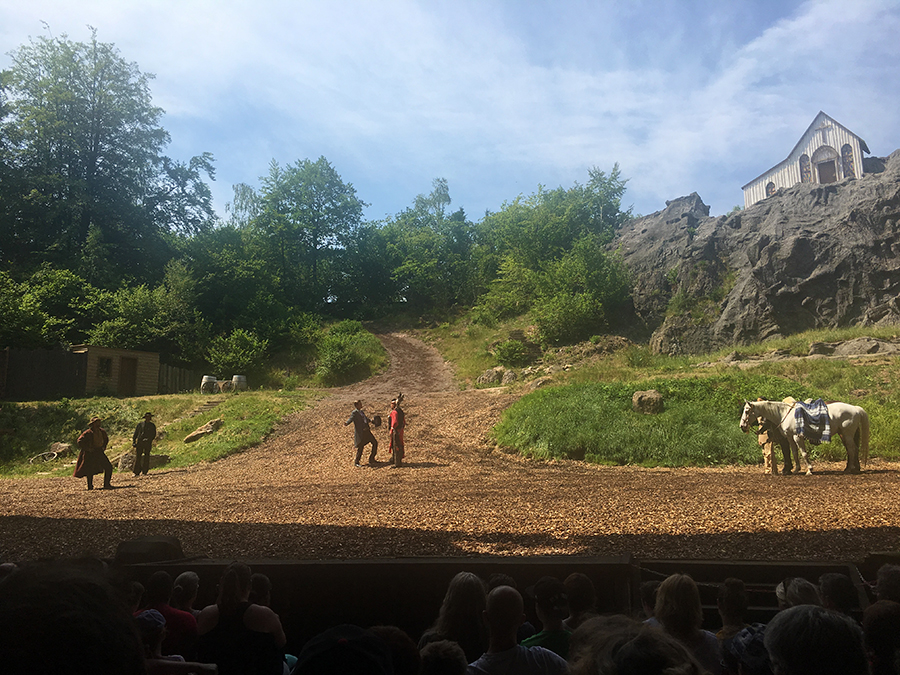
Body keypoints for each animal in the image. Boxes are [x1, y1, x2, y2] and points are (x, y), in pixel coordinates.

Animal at [740, 402, 872, 476]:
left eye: (747, 411)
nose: (742, 426)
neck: (785, 414)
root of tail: (855, 408)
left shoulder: (797, 437)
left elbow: (803, 453)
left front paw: (809, 470)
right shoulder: (790, 437)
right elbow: (794, 452)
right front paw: (796, 469)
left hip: (847, 434)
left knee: (852, 450)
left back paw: (850, 469)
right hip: (845, 434)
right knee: (852, 449)